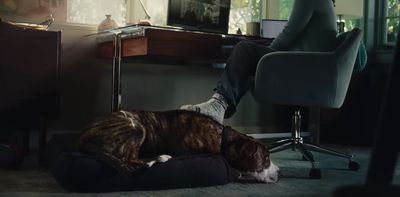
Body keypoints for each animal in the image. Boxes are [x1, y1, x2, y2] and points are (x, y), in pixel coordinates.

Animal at [77, 110, 278, 182]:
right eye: (266, 158)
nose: (280, 172)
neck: (223, 139)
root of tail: (84, 138)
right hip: (136, 126)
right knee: (129, 159)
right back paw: (160, 158)